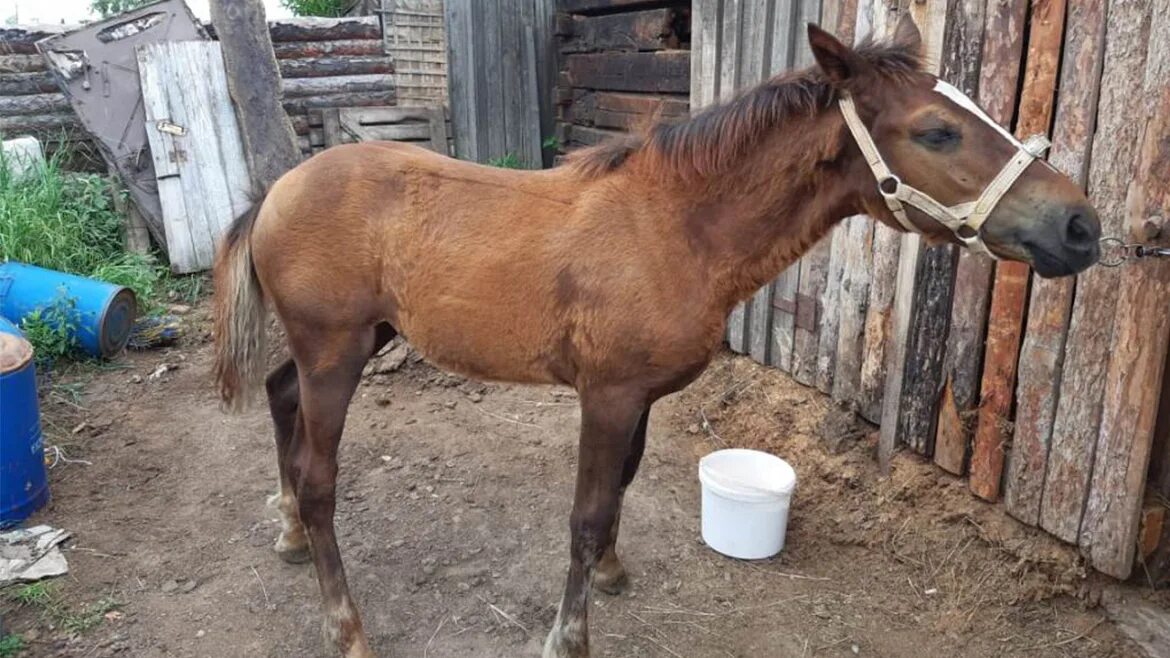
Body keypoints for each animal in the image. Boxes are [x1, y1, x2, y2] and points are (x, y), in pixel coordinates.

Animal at [215, 17, 1099, 650]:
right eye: (936, 131)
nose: (1081, 227)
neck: (675, 227)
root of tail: (279, 189)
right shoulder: (605, 397)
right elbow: (585, 513)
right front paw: (568, 638)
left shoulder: (638, 397)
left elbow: (621, 492)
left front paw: (611, 573)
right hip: (336, 352)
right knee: (320, 478)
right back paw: (345, 625)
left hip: (352, 343)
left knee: (279, 398)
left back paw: (287, 532)